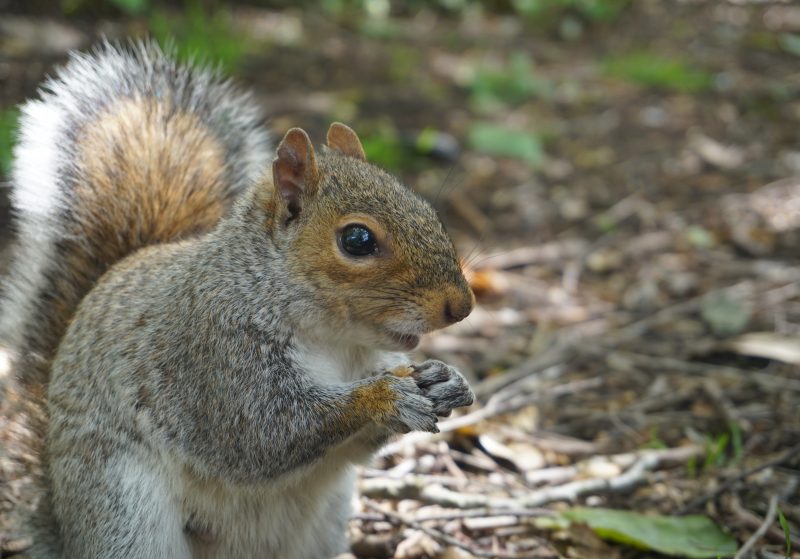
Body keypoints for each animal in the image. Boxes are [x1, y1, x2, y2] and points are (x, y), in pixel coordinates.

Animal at [0, 42, 475, 558]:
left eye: (428, 210)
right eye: (357, 240)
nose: (462, 307)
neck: (334, 340)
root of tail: (66, 531)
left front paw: (445, 380)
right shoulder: (214, 356)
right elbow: (263, 433)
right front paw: (383, 397)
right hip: (122, 509)